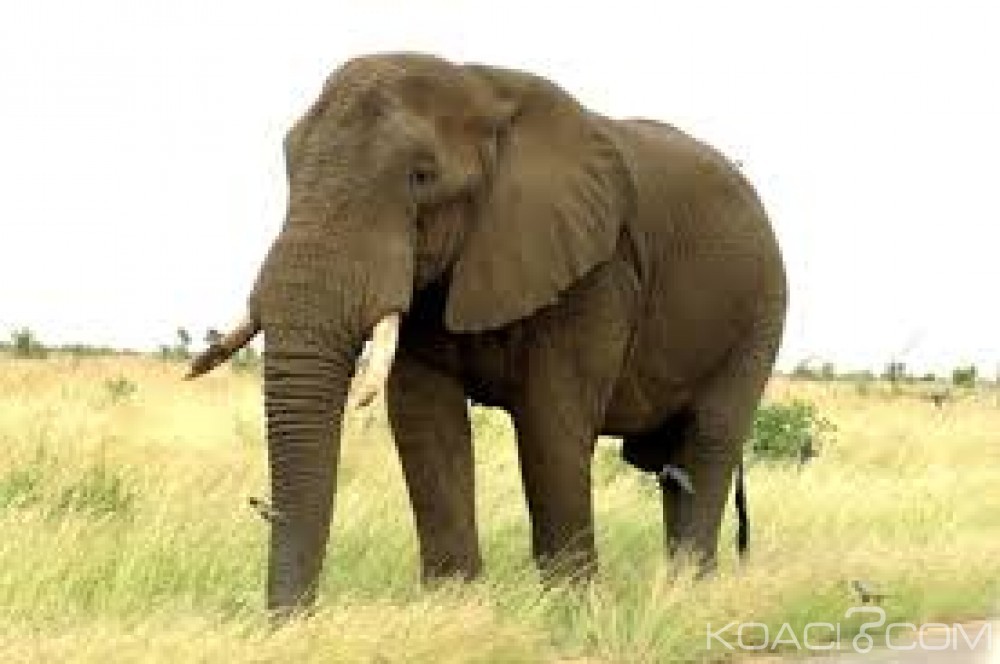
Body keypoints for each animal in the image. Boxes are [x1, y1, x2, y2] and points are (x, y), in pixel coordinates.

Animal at [187, 52, 787, 616]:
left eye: (422, 176)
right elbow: (425, 423)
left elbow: (551, 424)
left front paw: (568, 615)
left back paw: (689, 594)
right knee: (673, 468)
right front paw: (453, 610)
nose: (292, 621)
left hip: (761, 312)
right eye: (289, 166)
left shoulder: (594, 271)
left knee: (708, 444)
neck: (481, 88)